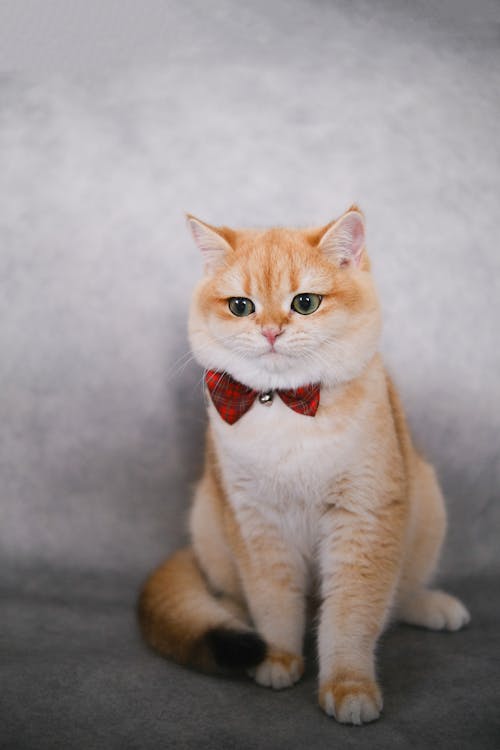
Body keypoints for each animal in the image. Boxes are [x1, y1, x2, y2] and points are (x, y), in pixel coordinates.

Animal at [139, 209, 470, 724]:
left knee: (399, 594)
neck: (285, 406)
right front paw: (278, 657)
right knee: (233, 597)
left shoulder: (365, 518)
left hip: (427, 504)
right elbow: (273, 600)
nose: (271, 330)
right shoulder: (254, 523)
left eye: (305, 303)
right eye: (240, 306)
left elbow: (353, 614)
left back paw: (431, 605)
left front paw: (348, 685)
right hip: (207, 519)